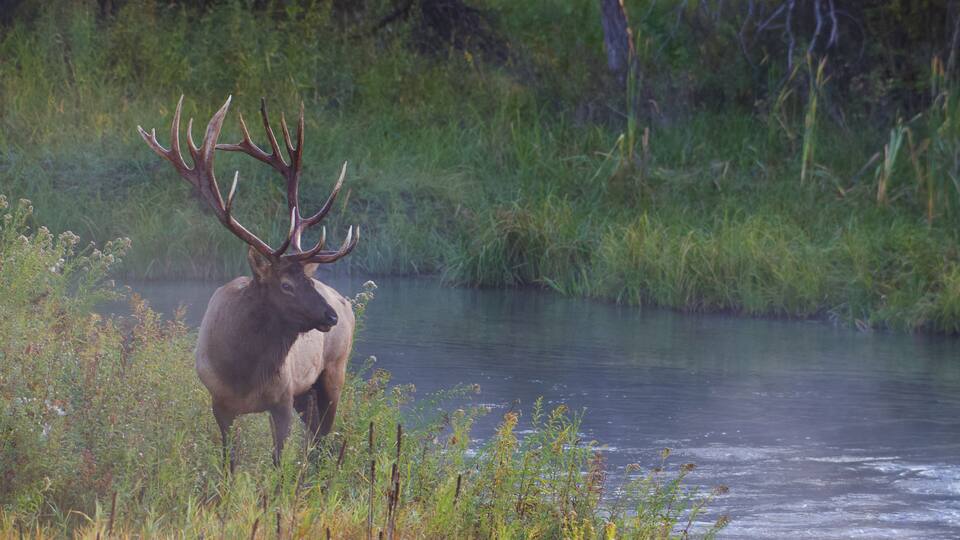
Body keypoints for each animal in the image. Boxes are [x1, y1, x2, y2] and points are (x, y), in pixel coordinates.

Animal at [138, 95, 359, 470]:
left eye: (308, 282)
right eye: (286, 285)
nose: (331, 316)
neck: (244, 372)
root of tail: (346, 302)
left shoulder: (282, 399)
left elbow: (278, 462)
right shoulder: (220, 403)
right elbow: (230, 461)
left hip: (332, 373)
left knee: (322, 440)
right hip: (307, 396)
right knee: (314, 438)